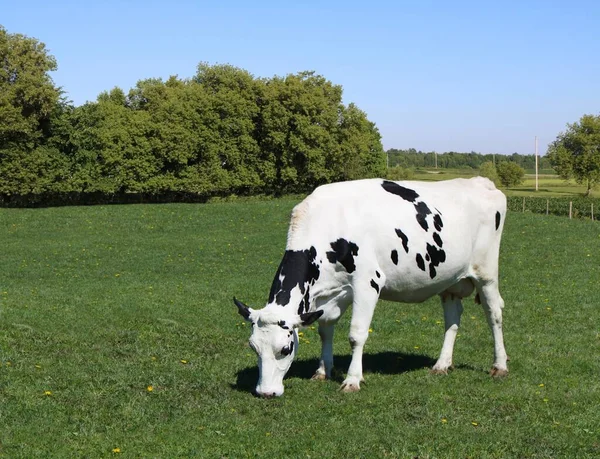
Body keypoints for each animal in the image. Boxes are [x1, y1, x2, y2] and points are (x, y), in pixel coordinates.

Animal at [234, 178, 506, 398]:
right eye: (253, 348)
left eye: (285, 349)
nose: (266, 392)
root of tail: (480, 182)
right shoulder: (332, 295)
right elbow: (325, 331)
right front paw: (322, 370)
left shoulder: (368, 282)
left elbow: (356, 334)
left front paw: (352, 380)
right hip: (449, 281)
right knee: (452, 320)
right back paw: (442, 365)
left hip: (487, 273)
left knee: (494, 314)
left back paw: (500, 366)